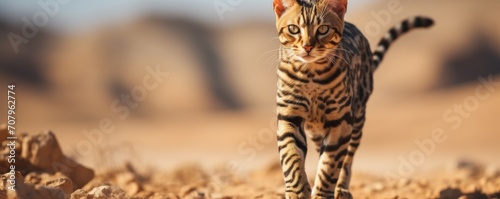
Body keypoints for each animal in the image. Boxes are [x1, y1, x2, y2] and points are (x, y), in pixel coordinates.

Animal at [274, 0, 434, 199]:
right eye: (293, 29)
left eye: (323, 29)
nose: (307, 47)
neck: (310, 73)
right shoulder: (289, 117)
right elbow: (291, 158)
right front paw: (297, 192)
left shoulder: (341, 122)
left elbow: (330, 165)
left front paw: (322, 193)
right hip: (317, 130)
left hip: (357, 121)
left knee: (347, 160)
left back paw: (341, 189)